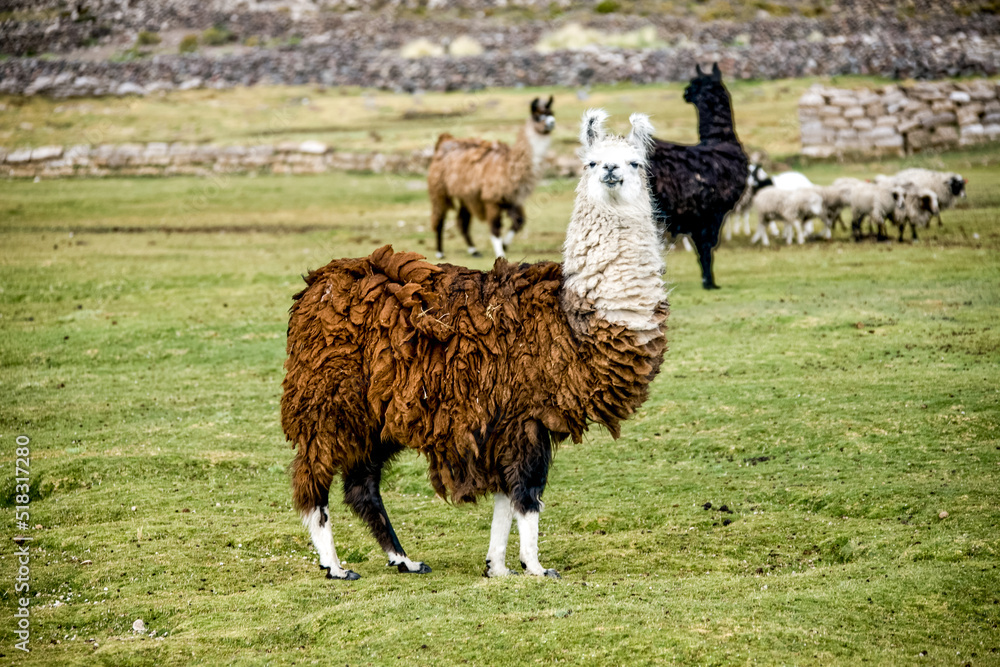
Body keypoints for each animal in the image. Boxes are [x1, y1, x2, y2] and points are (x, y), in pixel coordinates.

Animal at [428, 96, 556, 258]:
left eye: (552, 113)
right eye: (538, 115)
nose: (552, 123)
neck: (508, 167)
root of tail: (444, 141)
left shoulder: (512, 199)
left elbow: (519, 222)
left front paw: (505, 245)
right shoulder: (491, 198)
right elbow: (495, 227)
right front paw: (501, 254)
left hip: (466, 194)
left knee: (462, 221)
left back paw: (473, 250)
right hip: (438, 188)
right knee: (439, 218)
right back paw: (440, 252)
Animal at [644, 62, 748, 290]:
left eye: (695, 83)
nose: (685, 92)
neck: (720, 142)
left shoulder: (699, 214)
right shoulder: (713, 212)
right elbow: (706, 246)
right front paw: (709, 283)